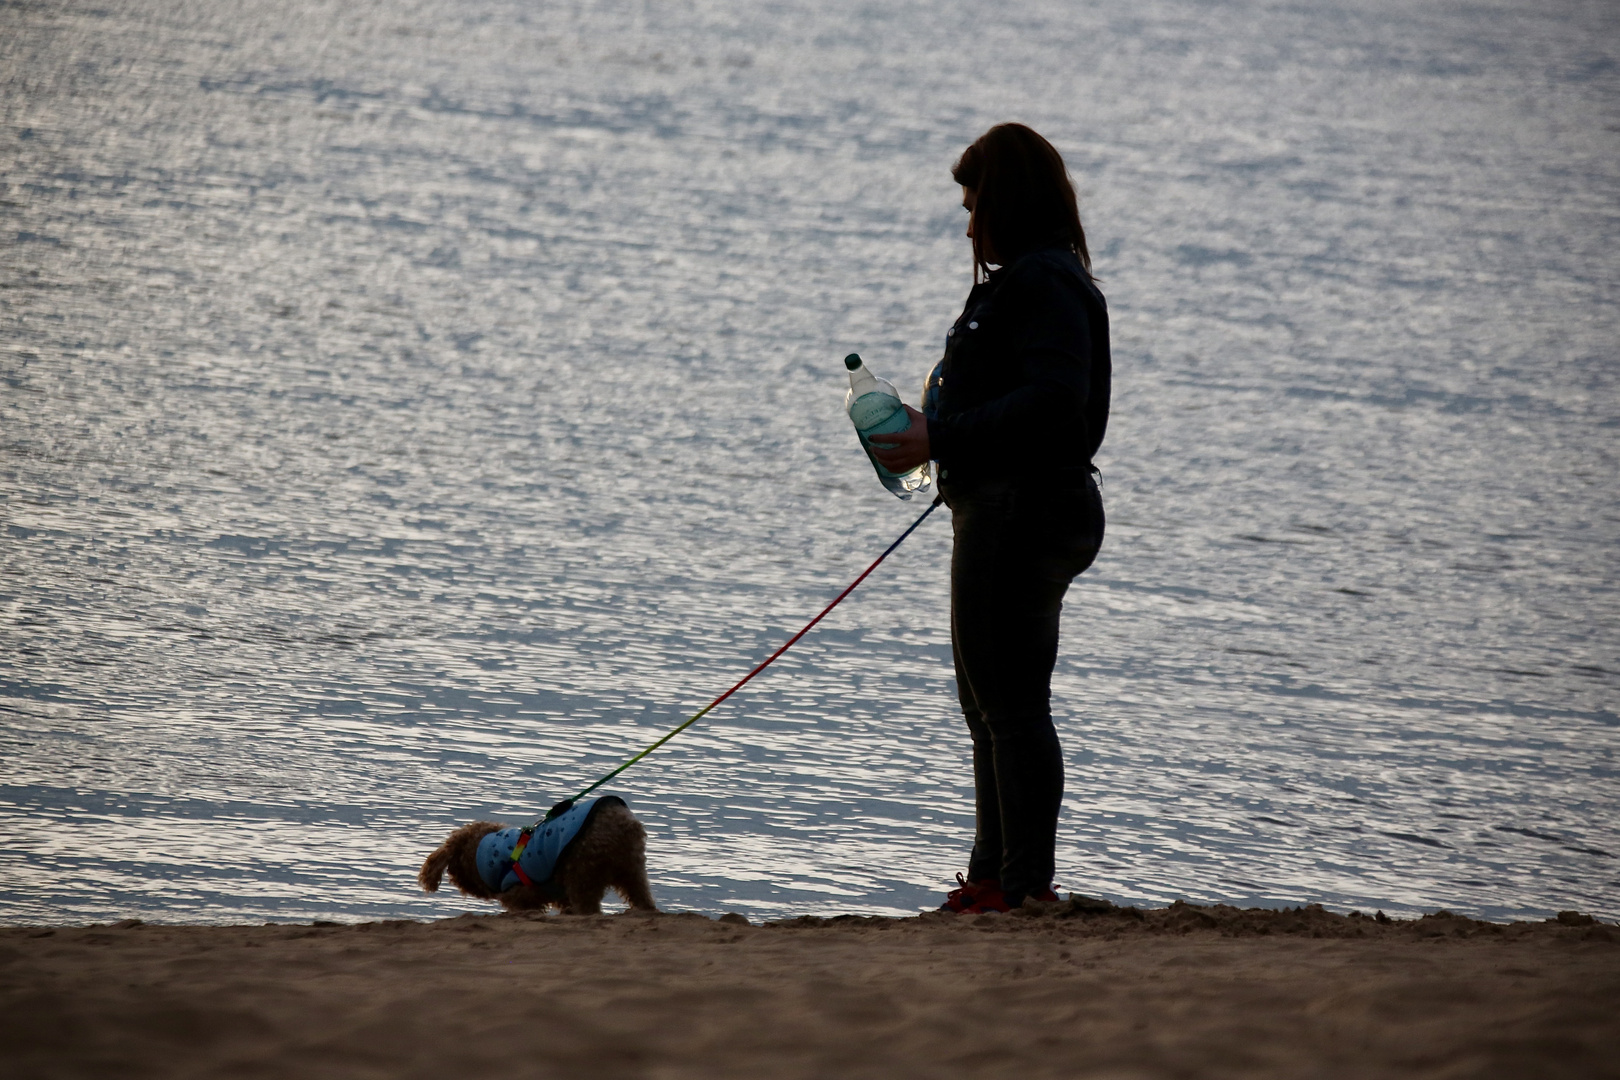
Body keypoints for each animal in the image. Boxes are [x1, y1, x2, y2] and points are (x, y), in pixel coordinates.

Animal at [417, 790, 657, 919]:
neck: (486, 850)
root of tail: (621, 822)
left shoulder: (520, 895)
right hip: (631, 869)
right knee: (642, 895)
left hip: (583, 871)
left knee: (588, 904)